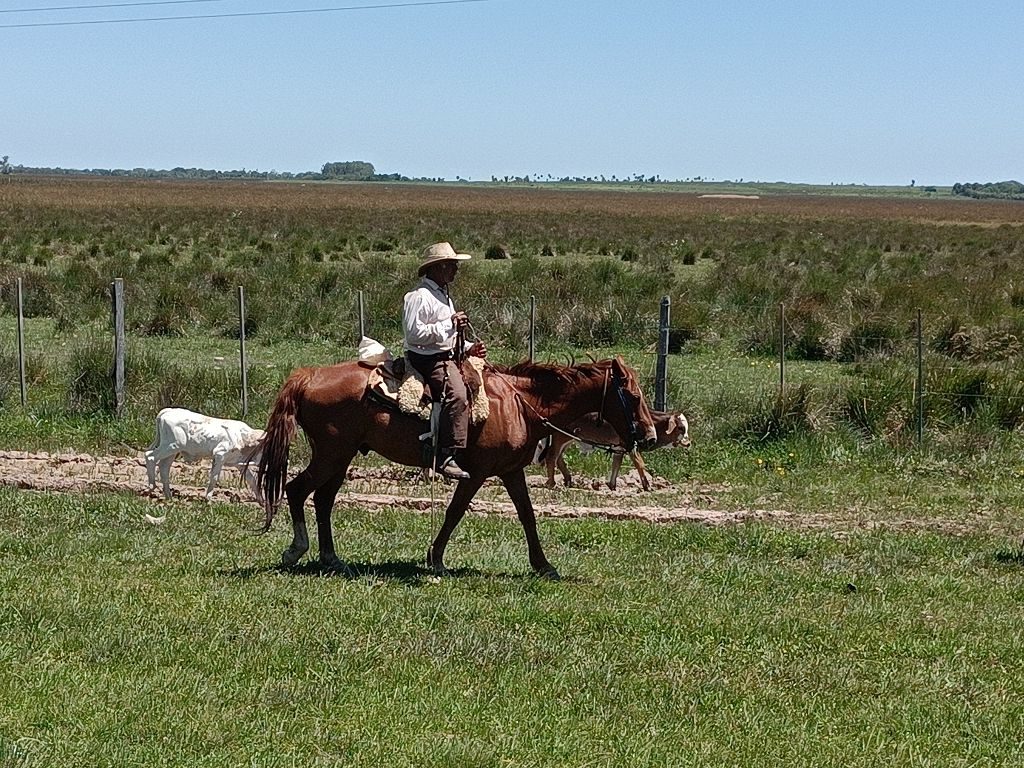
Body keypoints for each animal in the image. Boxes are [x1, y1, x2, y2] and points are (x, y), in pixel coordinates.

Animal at [256, 356, 655, 577]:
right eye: (634, 396)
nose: (650, 436)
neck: (519, 403)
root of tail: (309, 375)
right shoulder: (475, 473)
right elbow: (455, 512)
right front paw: (435, 559)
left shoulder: (511, 471)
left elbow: (527, 516)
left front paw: (543, 565)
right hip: (331, 455)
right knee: (296, 490)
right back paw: (296, 550)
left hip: (340, 457)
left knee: (322, 500)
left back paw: (331, 558)